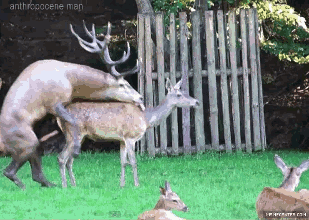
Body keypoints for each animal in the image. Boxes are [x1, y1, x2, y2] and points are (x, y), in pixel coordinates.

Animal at [0, 21, 144, 189]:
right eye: (123, 84)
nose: (140, 97)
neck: (72, 82)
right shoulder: (54, 103)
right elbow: (73, 121)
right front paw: (75, 149)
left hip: (31, 143)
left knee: (34, 173)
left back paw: (51, 183)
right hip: (26, 140)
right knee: (9, 171)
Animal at [51, 77, 199, 187]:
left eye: (186, 92)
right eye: (179, 95)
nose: (197, 102)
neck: (146, 119)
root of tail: (58, 117)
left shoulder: (122, 140)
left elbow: (122, 161)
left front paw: (121, 184)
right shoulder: (130, 136)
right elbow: (133, 161)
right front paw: (137, 184)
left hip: (79, 137)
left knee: (69, 160)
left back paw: (74, 184)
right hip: (72, 133)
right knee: (61, 157)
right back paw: (64, 185)